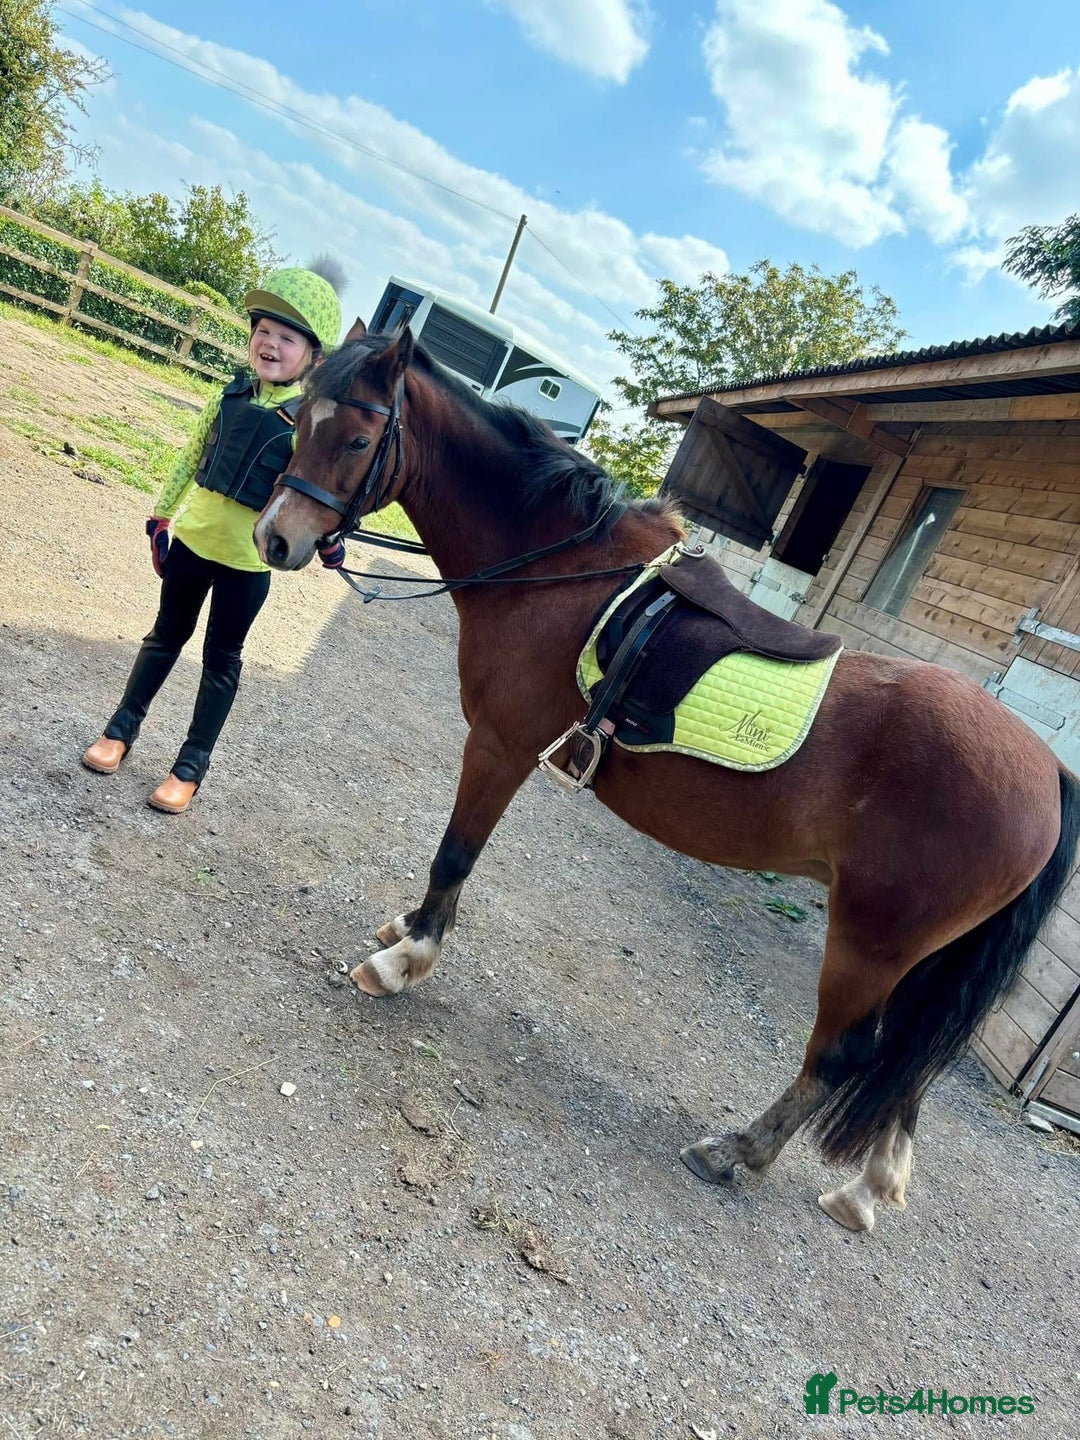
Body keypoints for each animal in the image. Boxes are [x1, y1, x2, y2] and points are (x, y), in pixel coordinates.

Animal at [253, 323, 1080, 1234]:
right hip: (925, 960)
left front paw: (406, 960)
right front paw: (405, 930)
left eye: (358, 439)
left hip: (873, 941)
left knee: (843, 1055)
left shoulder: (500, 748)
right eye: (299, 417)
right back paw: (869, 1188)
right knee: (911, 1064)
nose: (275, 539)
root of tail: (1048, 771)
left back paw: (737, 1152)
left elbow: (454, 855)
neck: (569, 573)